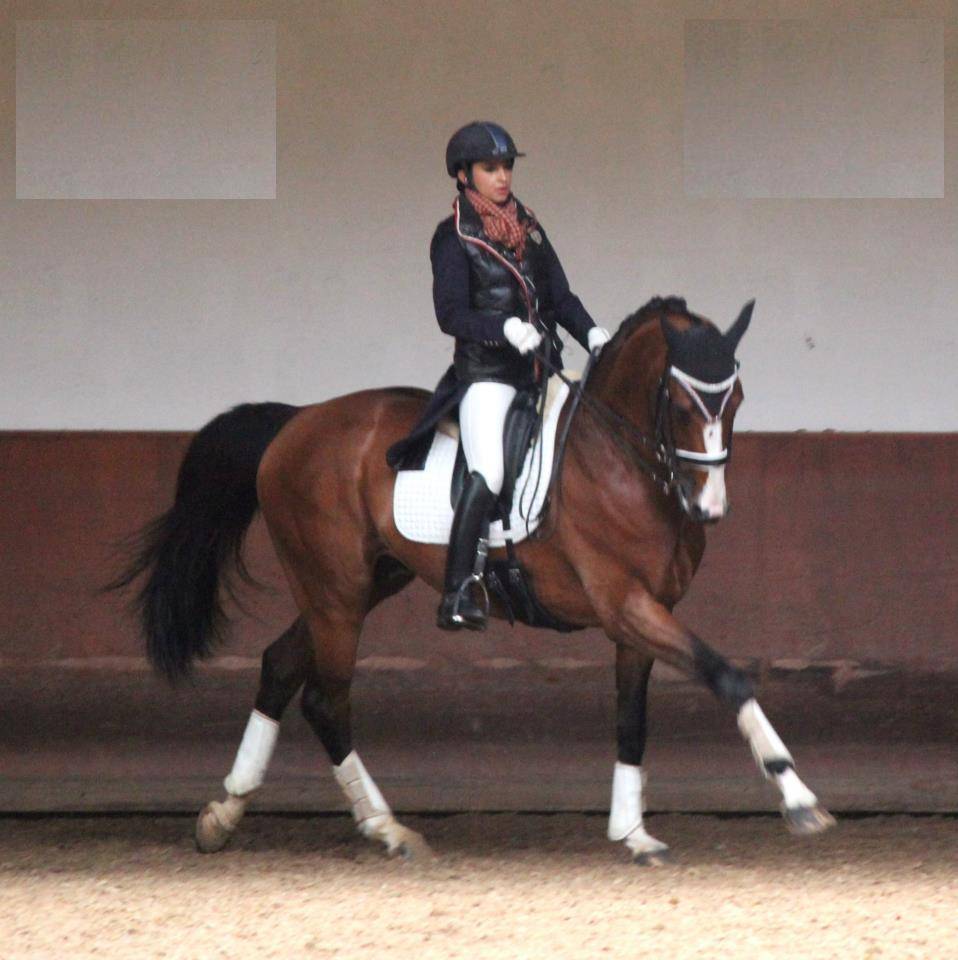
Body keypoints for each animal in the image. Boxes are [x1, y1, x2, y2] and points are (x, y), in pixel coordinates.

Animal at [111, 295, 834, 864]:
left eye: (736, 399)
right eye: (682, 403)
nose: (708, 508)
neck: (622, 460)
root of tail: (297, 420)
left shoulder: (641, 615)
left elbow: (632, 718)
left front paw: (632, 832)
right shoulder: (626, 604)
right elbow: (727, 677)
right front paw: (798, 797)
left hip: (362, 583)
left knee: (281, 666)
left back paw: (225, 812)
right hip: (335, 591)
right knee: (325, 697)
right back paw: (387, 828)